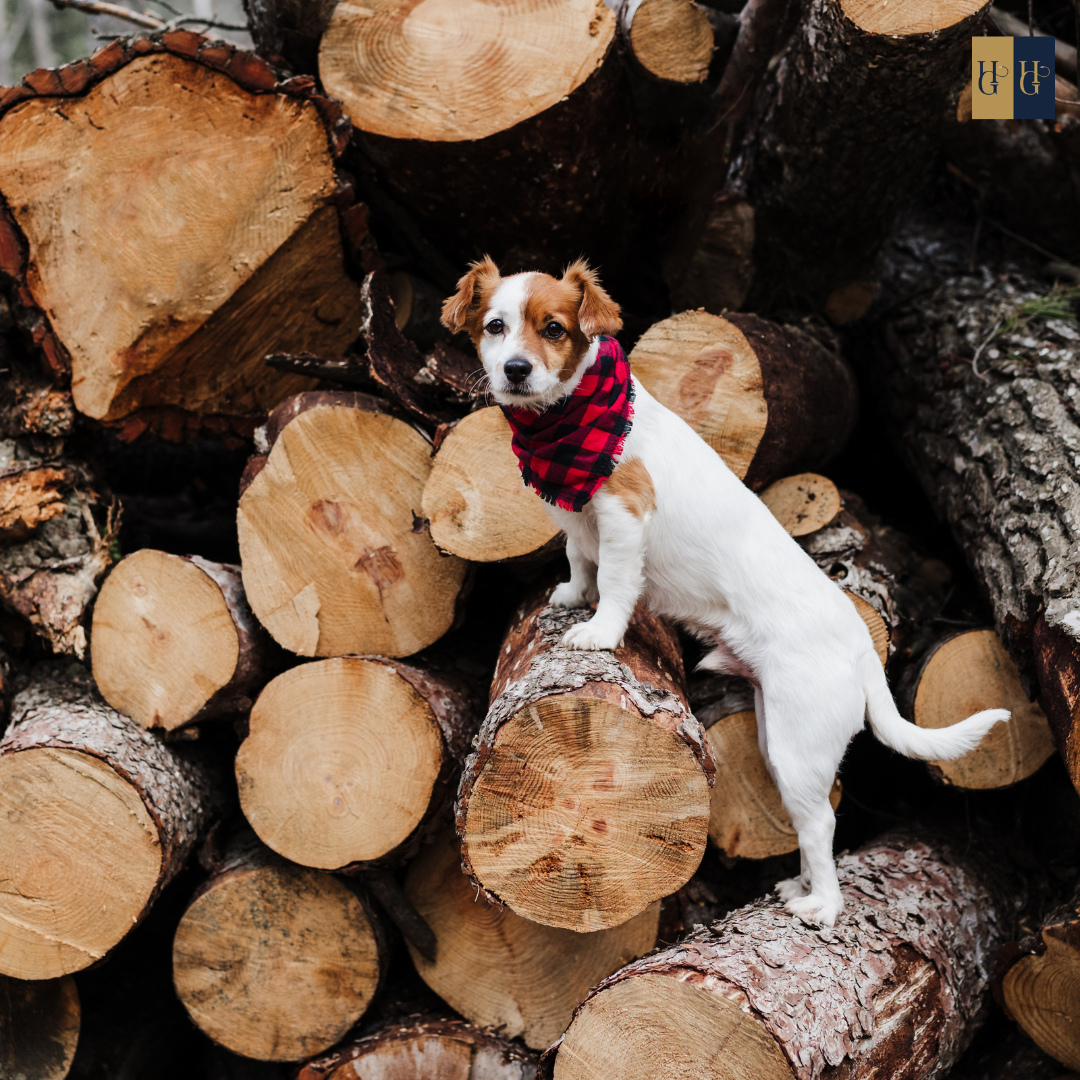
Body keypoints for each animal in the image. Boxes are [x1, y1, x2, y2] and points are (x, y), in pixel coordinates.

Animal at [436, 254, 1002, 928]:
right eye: (495, 326)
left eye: (553, 328)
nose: (515, 369)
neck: (573, 425)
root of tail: (862, 646)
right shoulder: (581, 522)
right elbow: (579, 558)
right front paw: (573, 595)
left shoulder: (623, 516)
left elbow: (618, 582)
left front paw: (600, 630)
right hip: (774, 736)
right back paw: (798, 886)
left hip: (799, 744)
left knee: (822, 823)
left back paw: (820, 906)